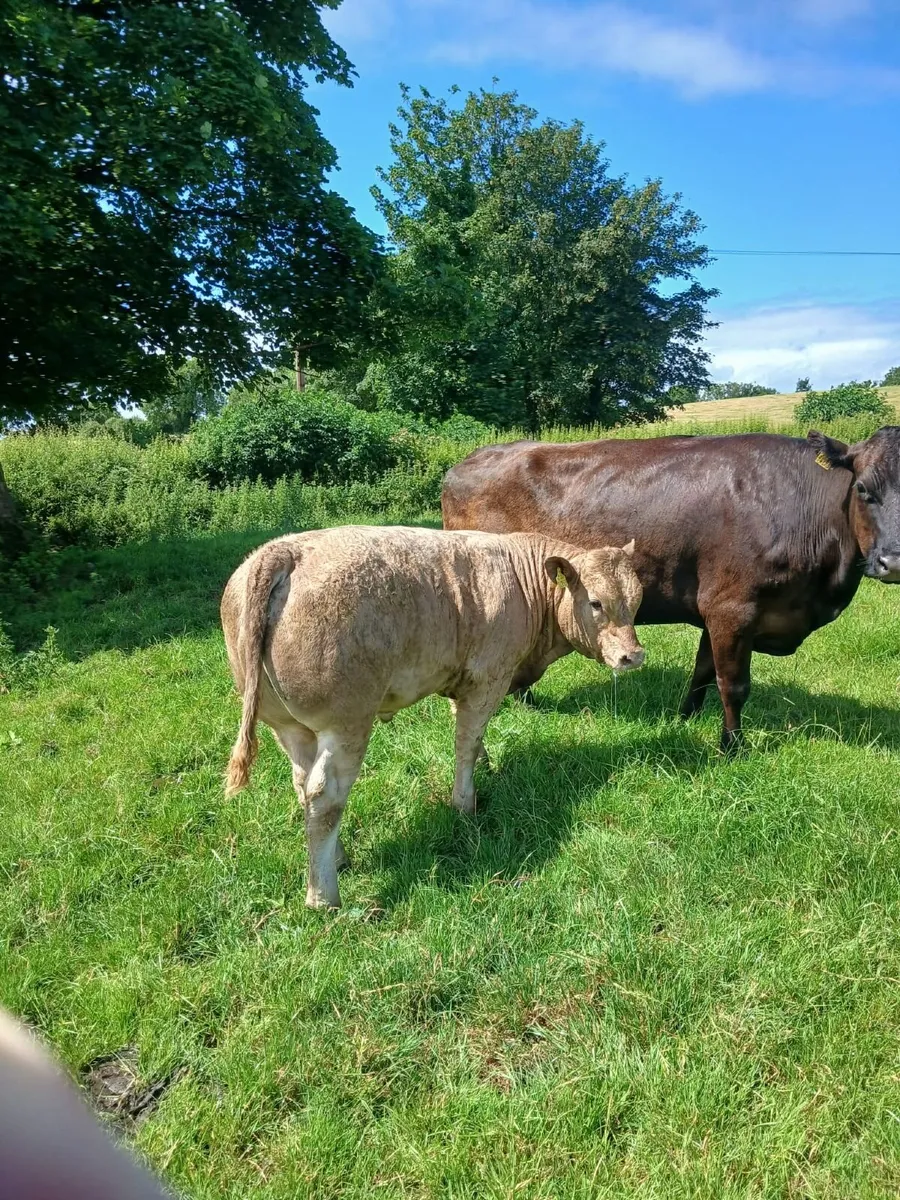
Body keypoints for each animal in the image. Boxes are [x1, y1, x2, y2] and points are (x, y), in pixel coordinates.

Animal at [221, 525, 644, 908]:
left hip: (289, 727)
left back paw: (336, 858)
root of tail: (282, 551)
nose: (634, 656)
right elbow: (467, 742)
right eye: (596, 603)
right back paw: (324, 896)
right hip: (346, 723)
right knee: (325, 797)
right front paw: (465, 804)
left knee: (302, 784)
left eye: (637, 601)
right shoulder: (488, 678)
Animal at [442, 427, 900, 752]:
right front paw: (731, 748)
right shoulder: (732, 608)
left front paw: (685, 719)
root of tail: (471, 459)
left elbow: (702, 673)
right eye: (863, 488)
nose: (893, 561)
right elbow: (733, 684)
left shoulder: (714, 612)